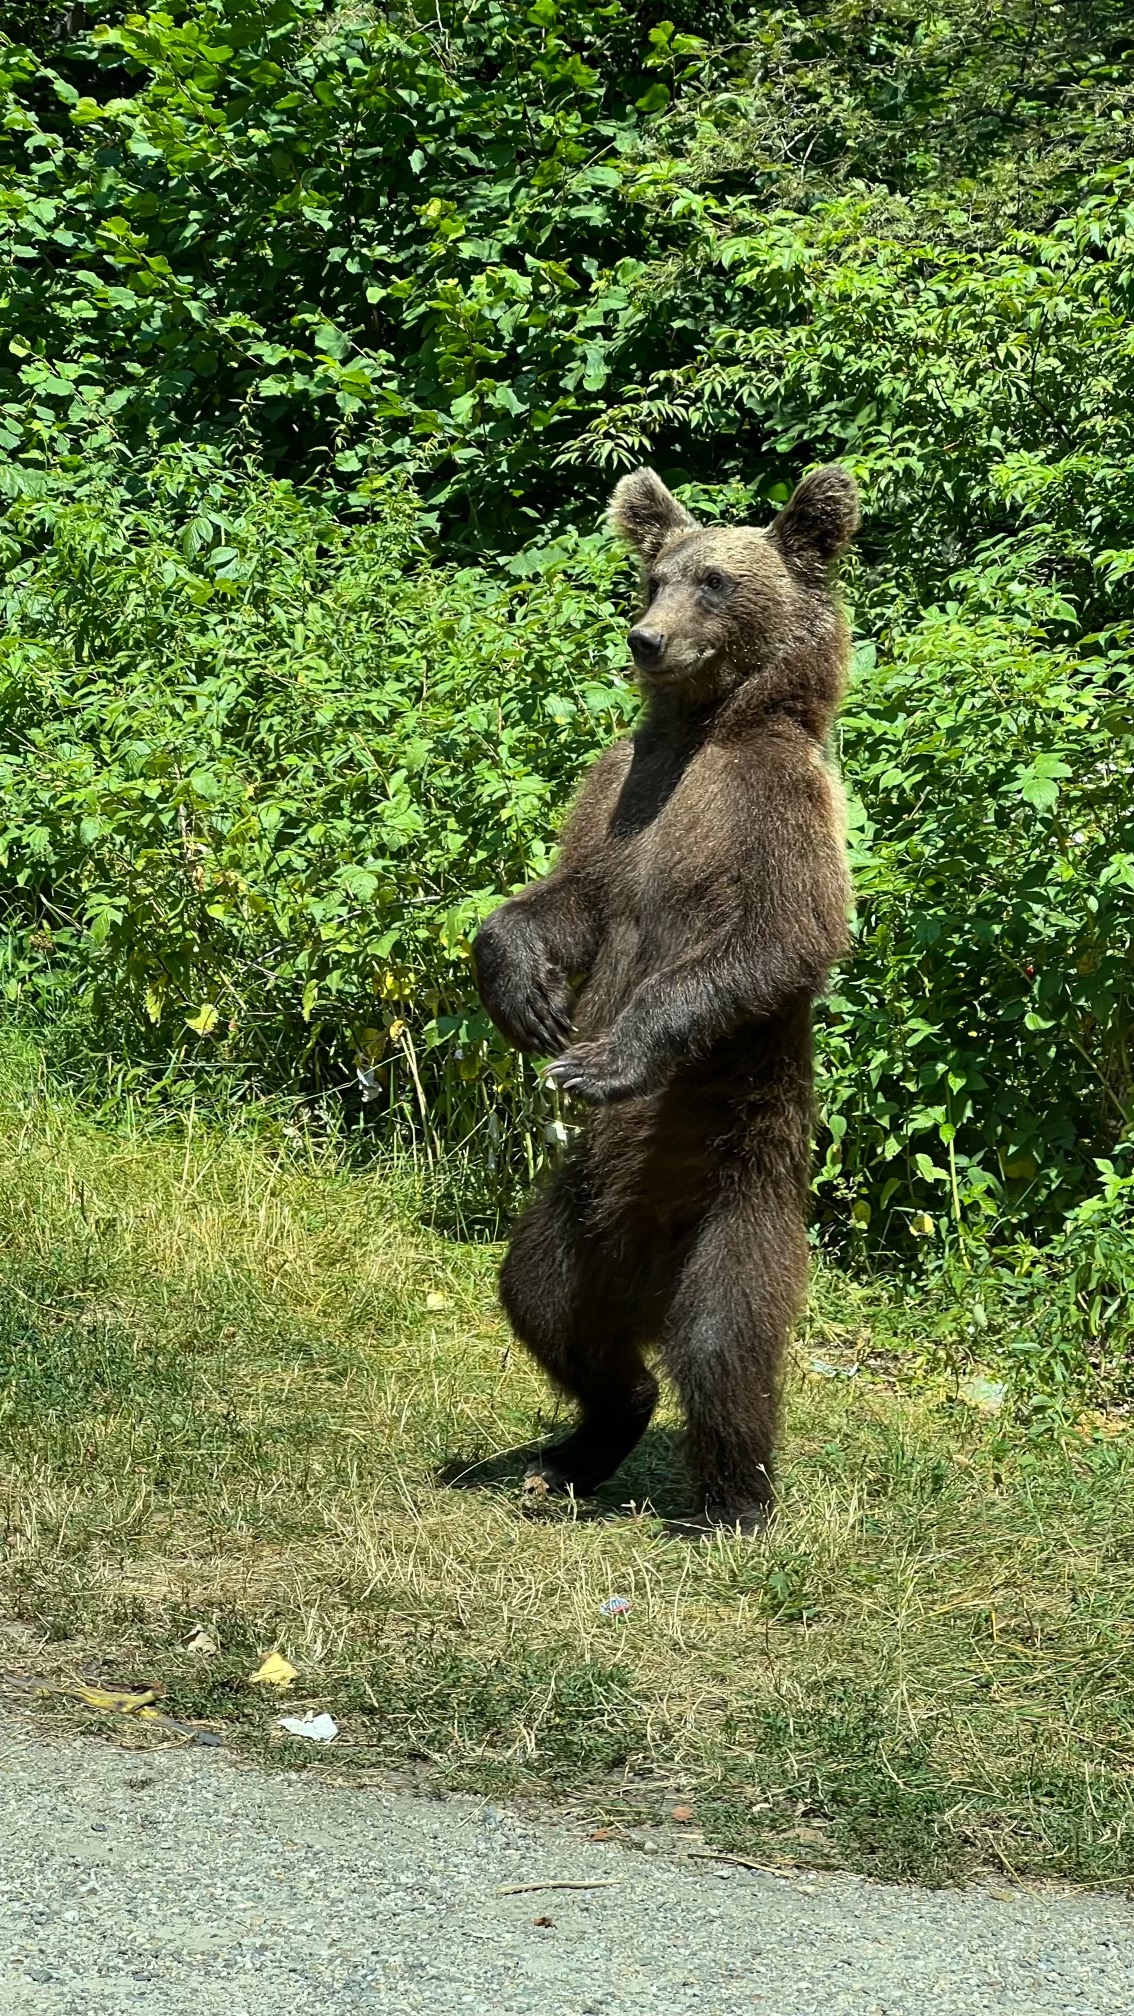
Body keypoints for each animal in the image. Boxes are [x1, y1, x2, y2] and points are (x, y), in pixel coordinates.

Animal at [472, 464, 859, 1532]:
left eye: (718, 581)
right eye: (656, 576)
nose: (646, 637)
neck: (706, 728)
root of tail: (641, 1279)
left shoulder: (775, 811)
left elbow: (772, 941)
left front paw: (603, 1057)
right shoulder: (621, 792)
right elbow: (569, 897)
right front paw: (528, 997)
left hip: (735, 1196)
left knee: (724, 1347)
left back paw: (734, 1502)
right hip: (570, 1218)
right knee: (543, 1304)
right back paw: (574, 1450)